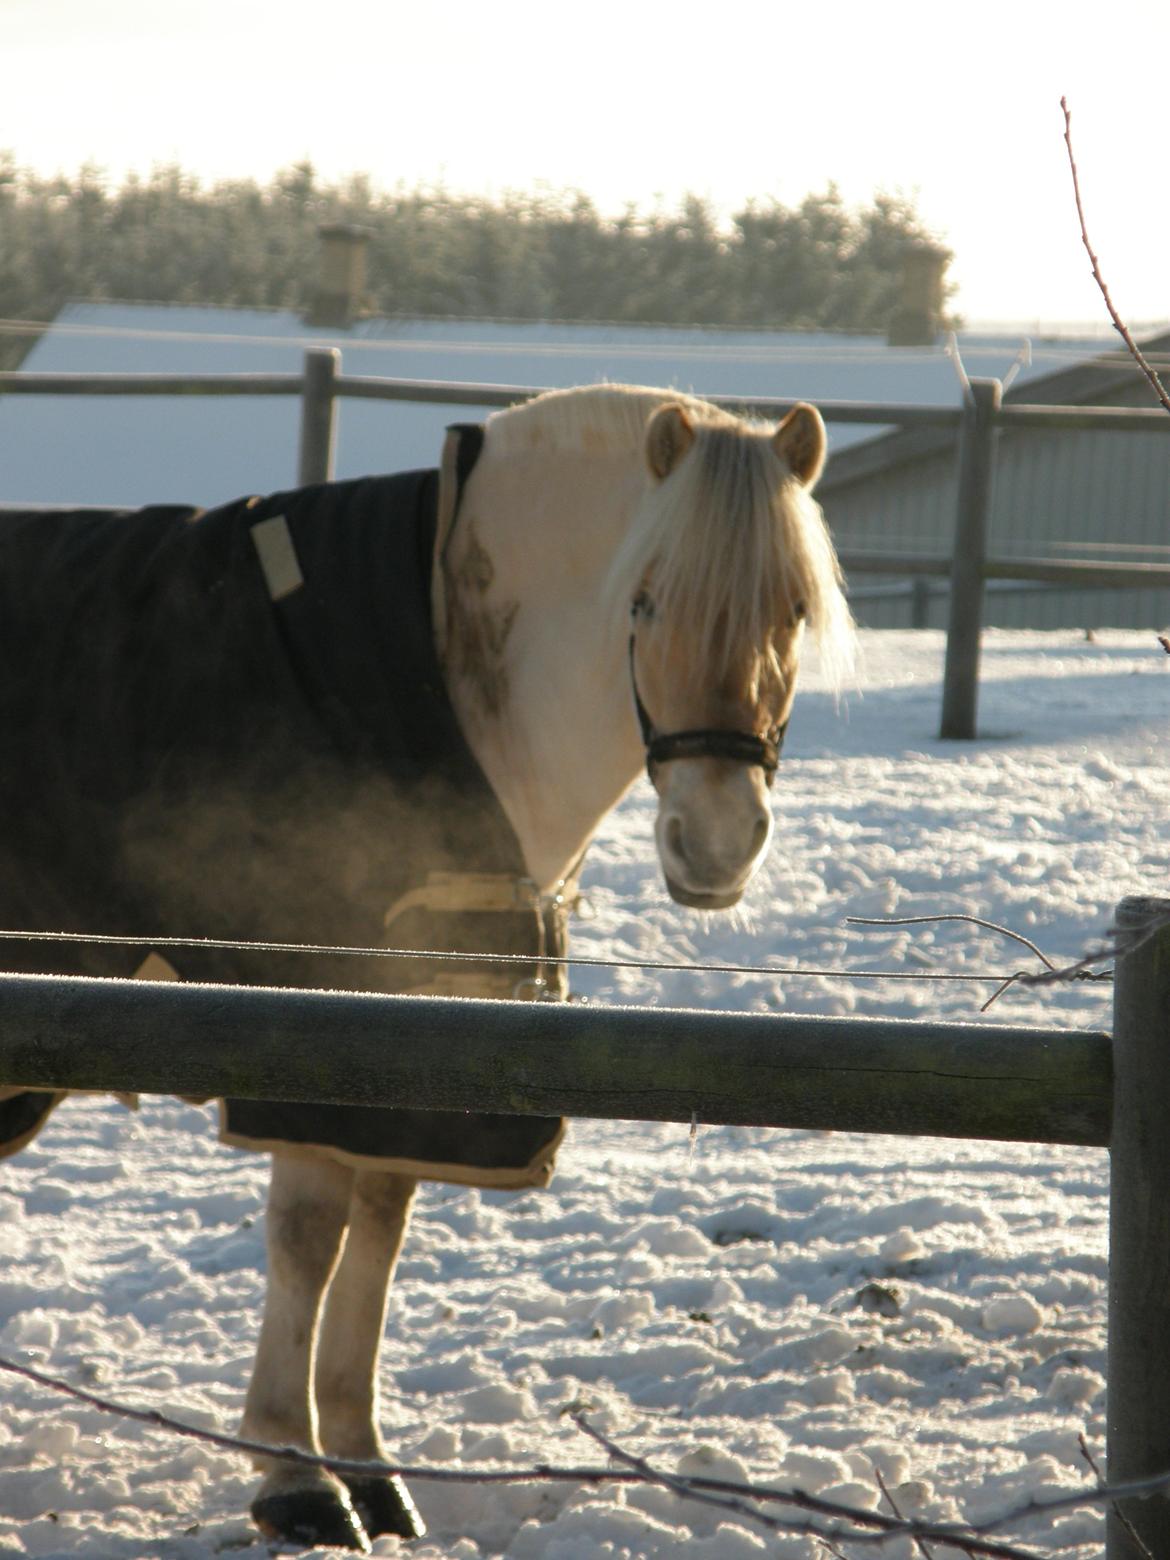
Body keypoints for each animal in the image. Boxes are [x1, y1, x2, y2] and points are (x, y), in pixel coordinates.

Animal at [0, 380, 854, 1547]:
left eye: (794, 613)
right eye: (641, 602)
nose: (718, 844)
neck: (448, 652)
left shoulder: (420, 1044)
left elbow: (380, 1234)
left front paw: (362, 1462)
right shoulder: (314, 1030)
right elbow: (309, 1240)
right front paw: (294, 1474)